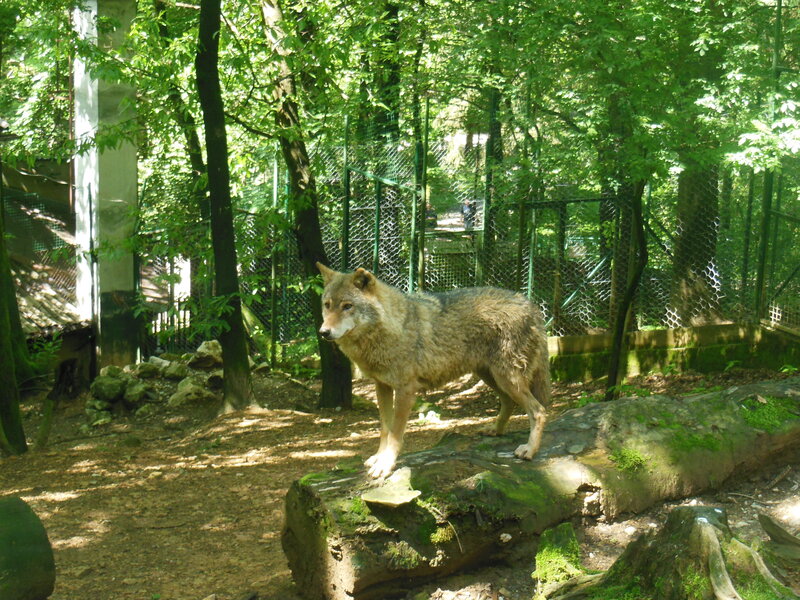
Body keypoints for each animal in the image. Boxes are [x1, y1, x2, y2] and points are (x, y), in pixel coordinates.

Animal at [316, 263, 551, 479]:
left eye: (347, 306)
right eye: (327, 305)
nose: (323, 332)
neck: (393, 328)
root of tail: (531, 306)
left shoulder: (405, 390)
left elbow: (395, 434)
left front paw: (385, 465)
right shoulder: (381, 385)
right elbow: (385, 428)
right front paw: (378, 458)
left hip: (507, 379)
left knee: (538, 411)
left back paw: (529, 450)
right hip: (492, 377)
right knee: (509, 402)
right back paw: (495, 430)